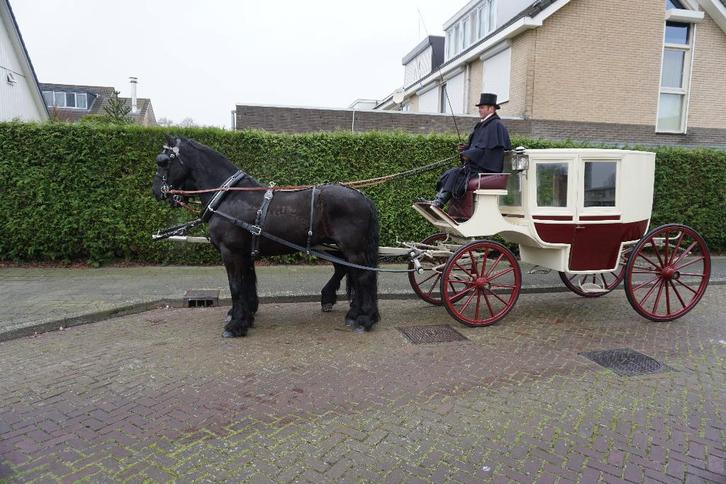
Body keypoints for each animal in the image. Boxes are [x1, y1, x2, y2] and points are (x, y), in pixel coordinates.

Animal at [151, 135, 380, 337]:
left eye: (163, 161)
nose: (156, 191)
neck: (229, 196)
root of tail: (362, 197)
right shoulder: (244, 253)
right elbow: (247, 283)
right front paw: (246, 316)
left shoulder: (231, 252)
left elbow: (236, 286)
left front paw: (235, 325)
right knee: (351, 273)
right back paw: (354, 313)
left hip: (353, 248)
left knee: (364, 277)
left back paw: (365, 320)